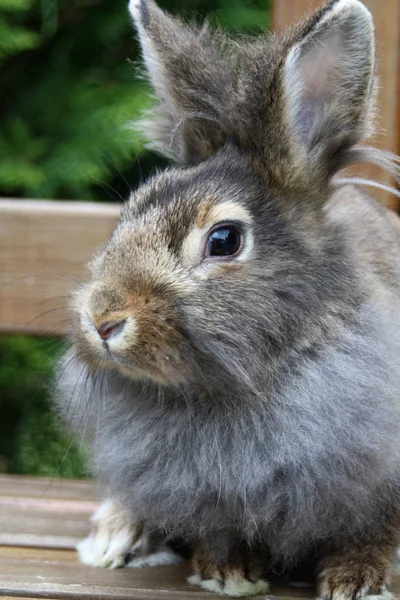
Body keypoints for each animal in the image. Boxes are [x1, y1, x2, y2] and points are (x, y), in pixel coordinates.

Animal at [53, 0, 400, 596]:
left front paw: (357, 581)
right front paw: (228, 572)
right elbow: (218, 528)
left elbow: (373, 529)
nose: (102, 321)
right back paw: (116, 538)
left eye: (224, 240)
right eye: (130, 210)